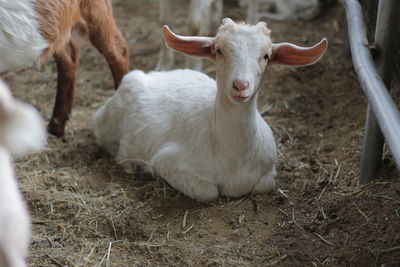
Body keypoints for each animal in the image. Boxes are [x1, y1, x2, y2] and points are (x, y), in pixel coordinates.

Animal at [94, 18, 328, 202]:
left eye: (267, 56)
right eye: (219, 50)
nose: (240, 85)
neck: (234, 157)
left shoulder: (269, 169)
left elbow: (266, 184)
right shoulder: (169, 162)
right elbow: (209, 192)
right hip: (107, 120)